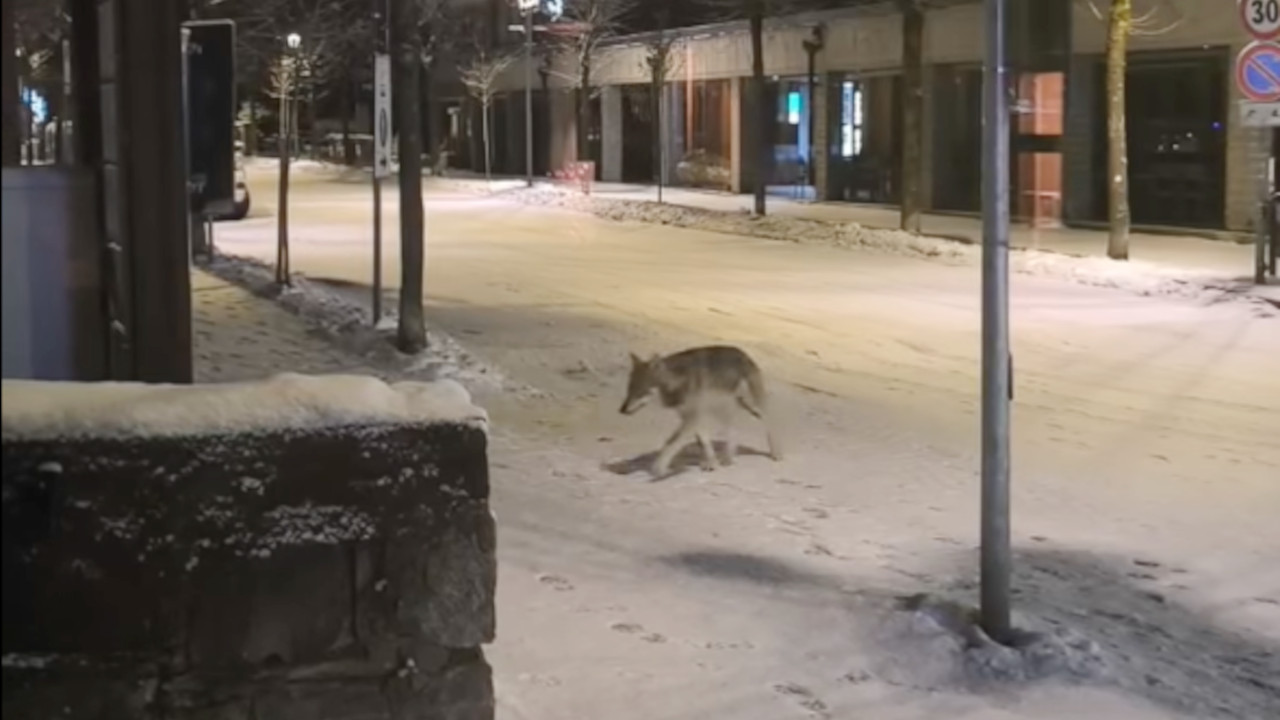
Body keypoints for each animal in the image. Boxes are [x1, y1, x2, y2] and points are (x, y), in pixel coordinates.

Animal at [619, 345, 782, 478]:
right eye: (629, 389)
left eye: (640, 392)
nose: (622, 409)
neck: (677, 382)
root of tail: (744, 354)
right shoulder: (691, 416)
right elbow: (704, 442)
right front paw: (711, 463)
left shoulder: (693, 417)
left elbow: (670, 443)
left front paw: (658, 468)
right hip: (725, 409)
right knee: (733, 431)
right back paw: (728, 458)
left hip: (748, 406)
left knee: (769, 423)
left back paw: (776, 453)